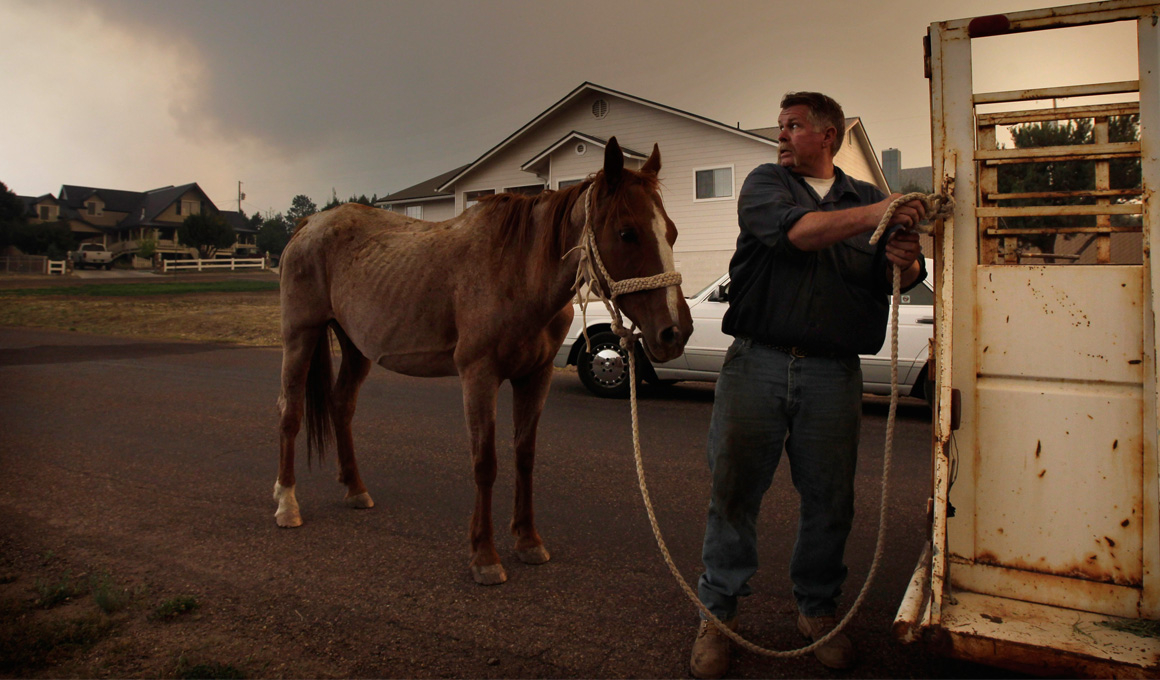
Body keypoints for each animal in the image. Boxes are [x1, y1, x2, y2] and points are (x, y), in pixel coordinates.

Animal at [272, 137, 691, 582]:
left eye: (672, 233)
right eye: (627, 233)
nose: (675, 332)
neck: (517, 273)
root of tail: (308, 225)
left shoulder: (535, 376)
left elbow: (524, 456)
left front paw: (528, 541)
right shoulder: (479, 376)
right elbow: (485, 462)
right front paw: (485, 556)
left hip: (356, 347)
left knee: (341, 405)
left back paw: (355, 489)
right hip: (300, 336)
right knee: (290, 413)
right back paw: (286, 503)